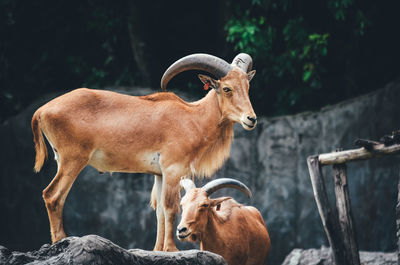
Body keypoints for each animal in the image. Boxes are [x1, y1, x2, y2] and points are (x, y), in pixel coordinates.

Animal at [30, 52, 256, 251]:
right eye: (227, 88)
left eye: (247, 86)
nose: (251, 119)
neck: (193, 118)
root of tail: (41, 111)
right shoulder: (173, 169)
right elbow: (170, 207)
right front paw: (172, 249)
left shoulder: (159, 174)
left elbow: (160, 211)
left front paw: (158, 249)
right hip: (73, 159)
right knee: (53, 195)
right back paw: (61, 240)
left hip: (63, 159)